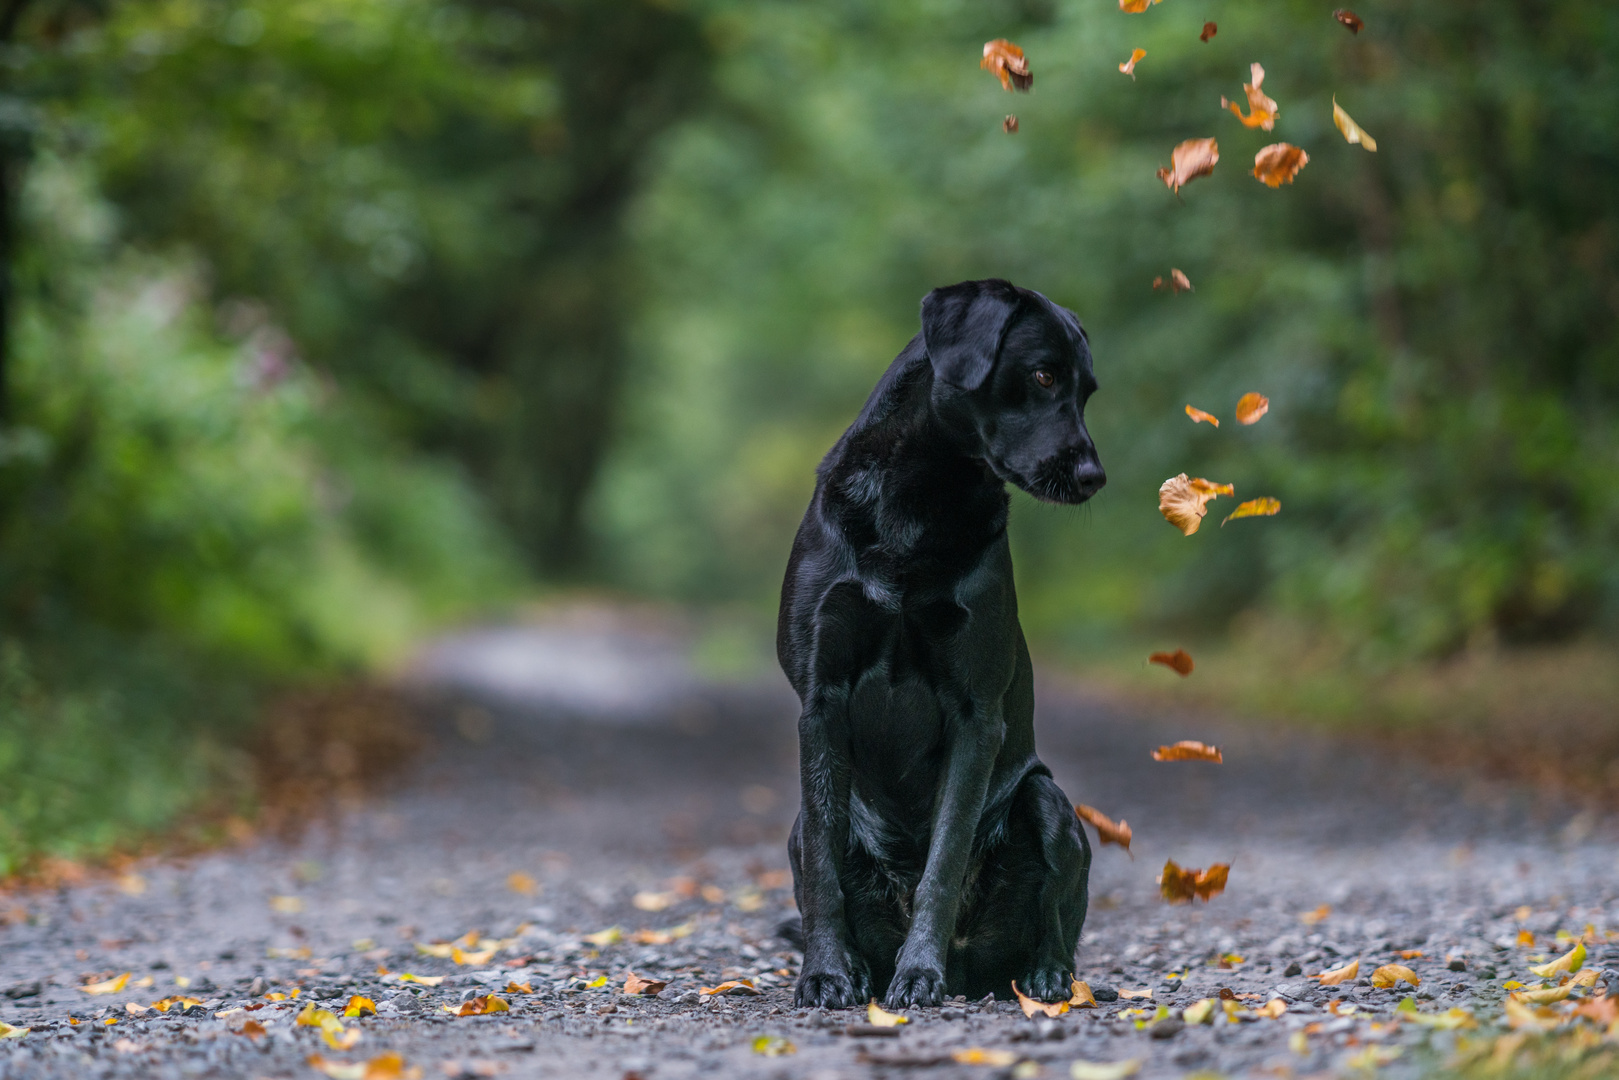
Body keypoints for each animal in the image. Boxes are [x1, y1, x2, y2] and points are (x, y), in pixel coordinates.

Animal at [777, 281, 1107, 1016]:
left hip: (1049, 803)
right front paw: (825, 974)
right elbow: (824, 870)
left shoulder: (975, 714)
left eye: (1089, 391)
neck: (918, 493)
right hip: (795, 826)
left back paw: (1043, 977)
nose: (1094, 475)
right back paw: (860, 969)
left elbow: (945, 857)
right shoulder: (820, 701)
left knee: (1057, 922)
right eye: (1044, 375)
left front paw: (917, 972)